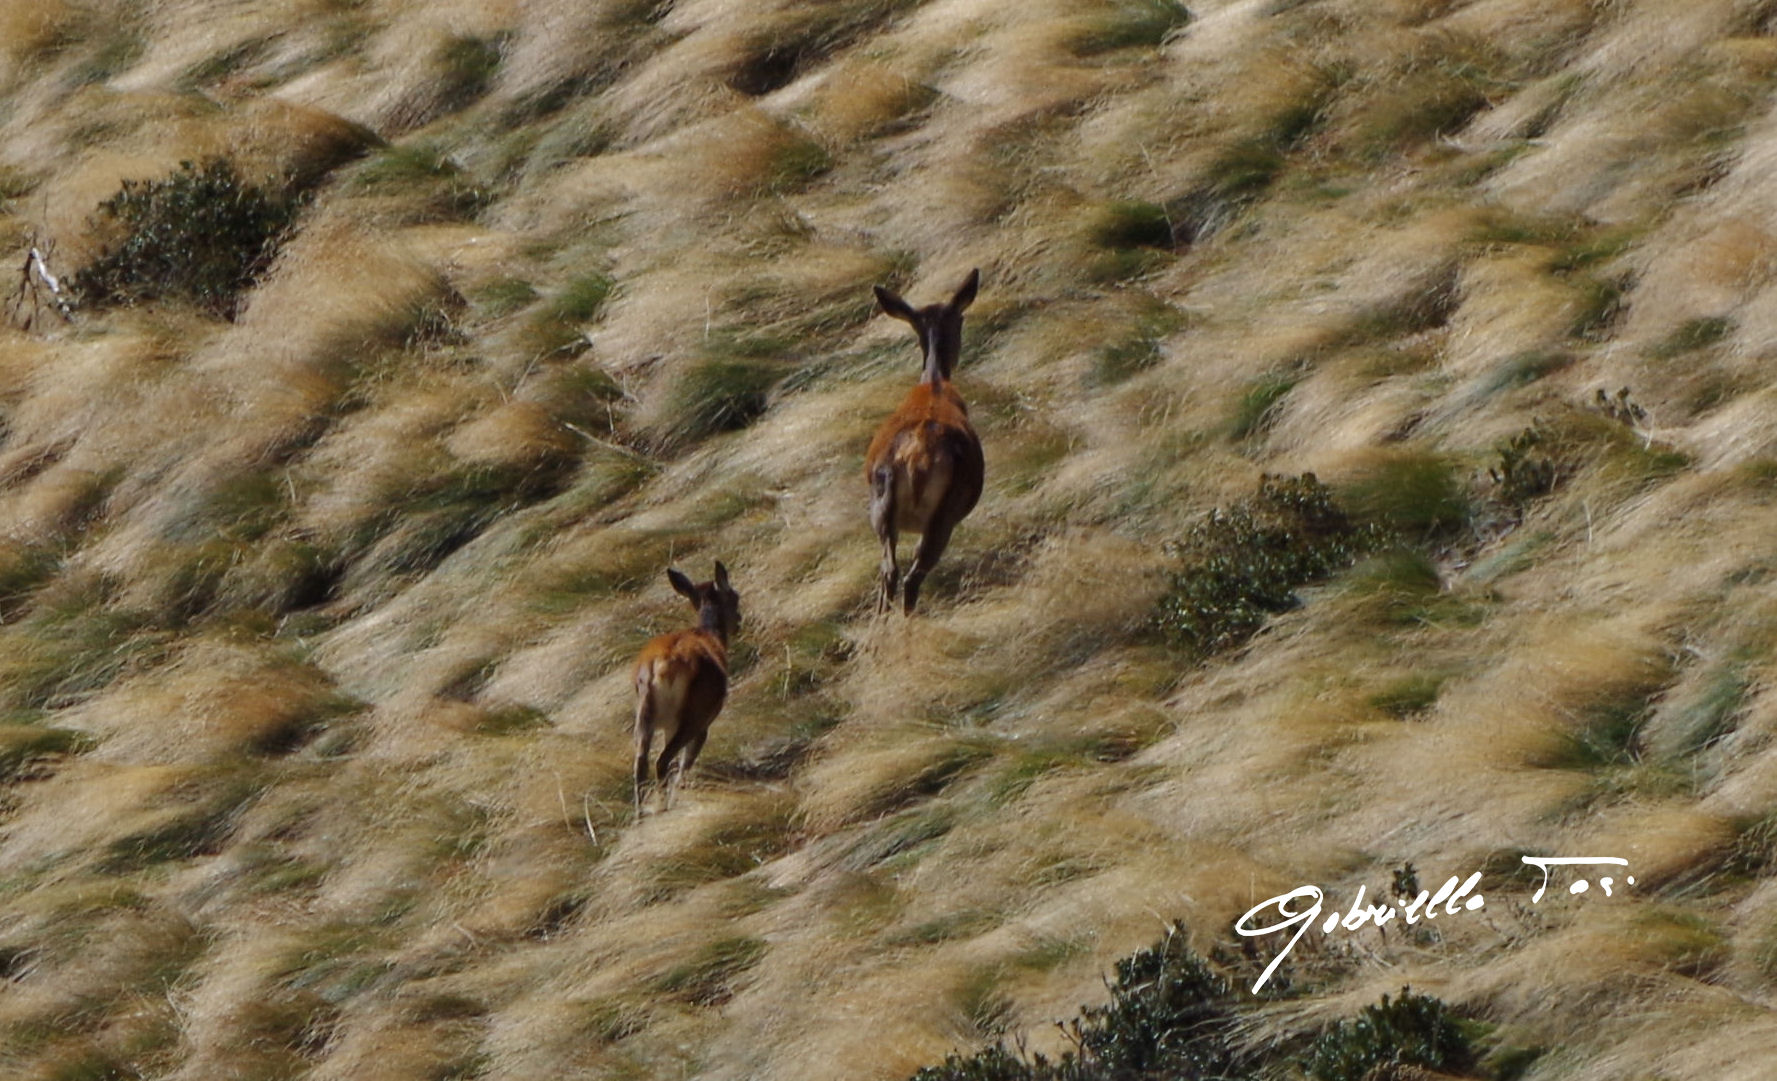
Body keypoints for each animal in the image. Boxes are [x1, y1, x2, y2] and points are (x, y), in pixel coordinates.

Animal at [632, 562, 741, 815]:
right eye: (736, 597)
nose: (739, 622)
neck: (709, 635)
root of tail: (662, 666)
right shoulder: (706, 720)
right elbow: (686, 761)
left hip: (645, 713)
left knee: (641, 762)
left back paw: (640, 814)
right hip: (694, 714)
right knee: (663, 760)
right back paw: (664, 806)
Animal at [865, 269, 986, 615]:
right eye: (961, 318)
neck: (934, 385)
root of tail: (916, 459)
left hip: (881, 506)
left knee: (888, 570)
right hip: (945, 513)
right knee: (911, 575)